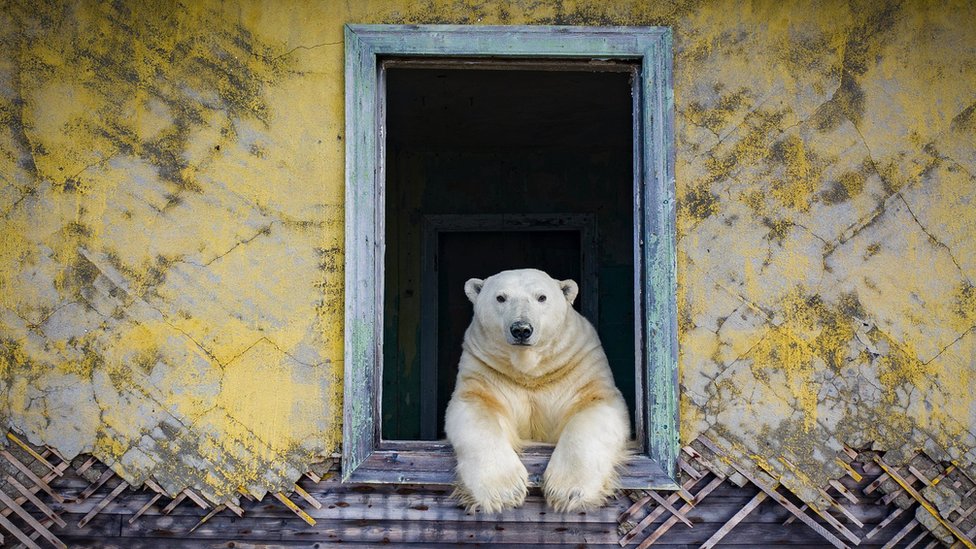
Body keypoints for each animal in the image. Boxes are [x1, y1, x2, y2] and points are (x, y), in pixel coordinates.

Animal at [444, 268, 628, 512]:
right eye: (500, 297)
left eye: (542, 297)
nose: (521, 329)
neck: (530, 372)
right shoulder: (485, 370)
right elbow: (476, 410)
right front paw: (504, 491)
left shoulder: (579, 365)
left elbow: (595, 407)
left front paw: (568, 491)